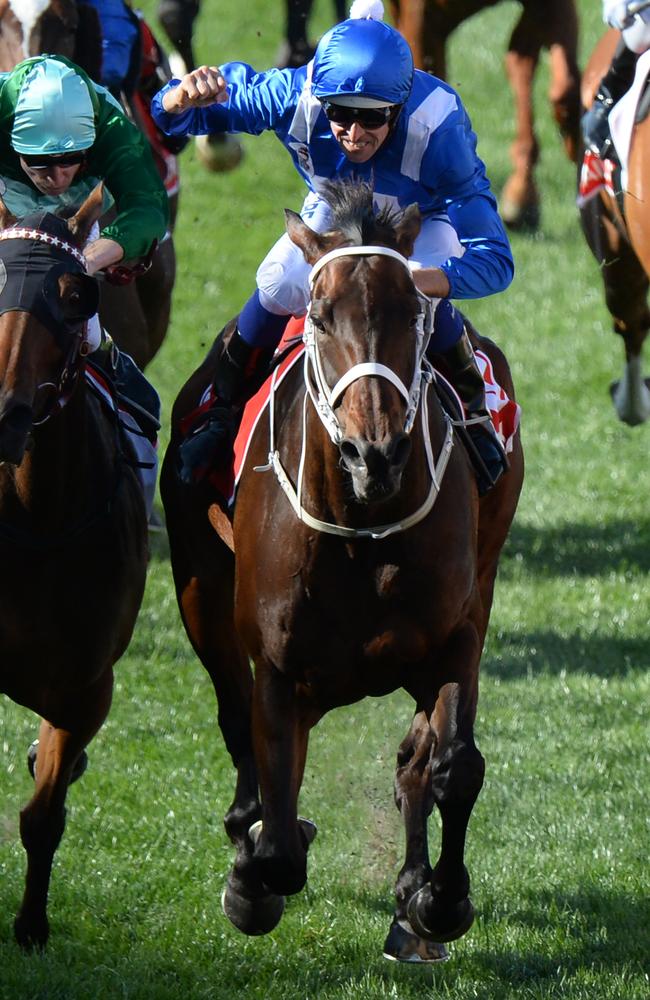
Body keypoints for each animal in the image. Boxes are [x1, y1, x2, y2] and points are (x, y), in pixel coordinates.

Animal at [162, 180, 520, 960]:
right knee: (236, 721)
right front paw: (253, 874)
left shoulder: (454, 637)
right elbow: (276, 834)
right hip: (199, 588)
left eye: (414, 313)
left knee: (417, 759)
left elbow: (452, 766)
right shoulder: (277, 666)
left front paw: (438, 899)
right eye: (321, 317)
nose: (373, 452)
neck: (363, 526)